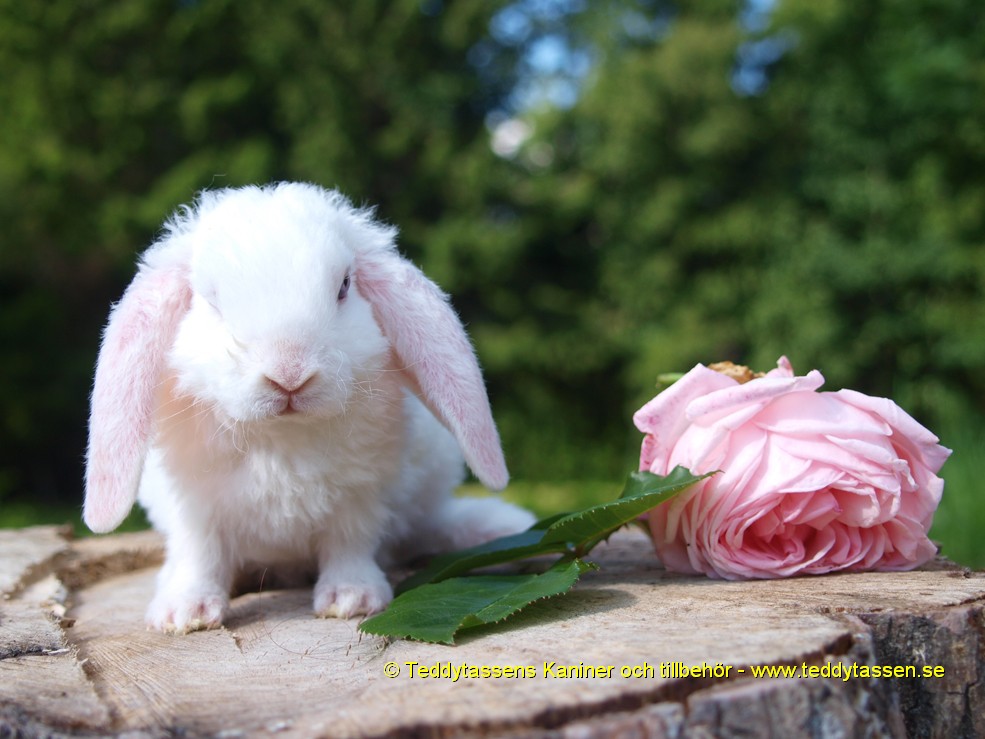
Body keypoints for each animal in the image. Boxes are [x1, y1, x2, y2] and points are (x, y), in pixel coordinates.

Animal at [84, 182, 536, 632]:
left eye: (344, 286)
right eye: (210, 300)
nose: (289, 374)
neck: (282, 435)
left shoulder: (360, 498)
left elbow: (348, 545)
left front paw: (352, 600)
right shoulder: (195, 509)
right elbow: (201, 556)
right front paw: (185, 614)